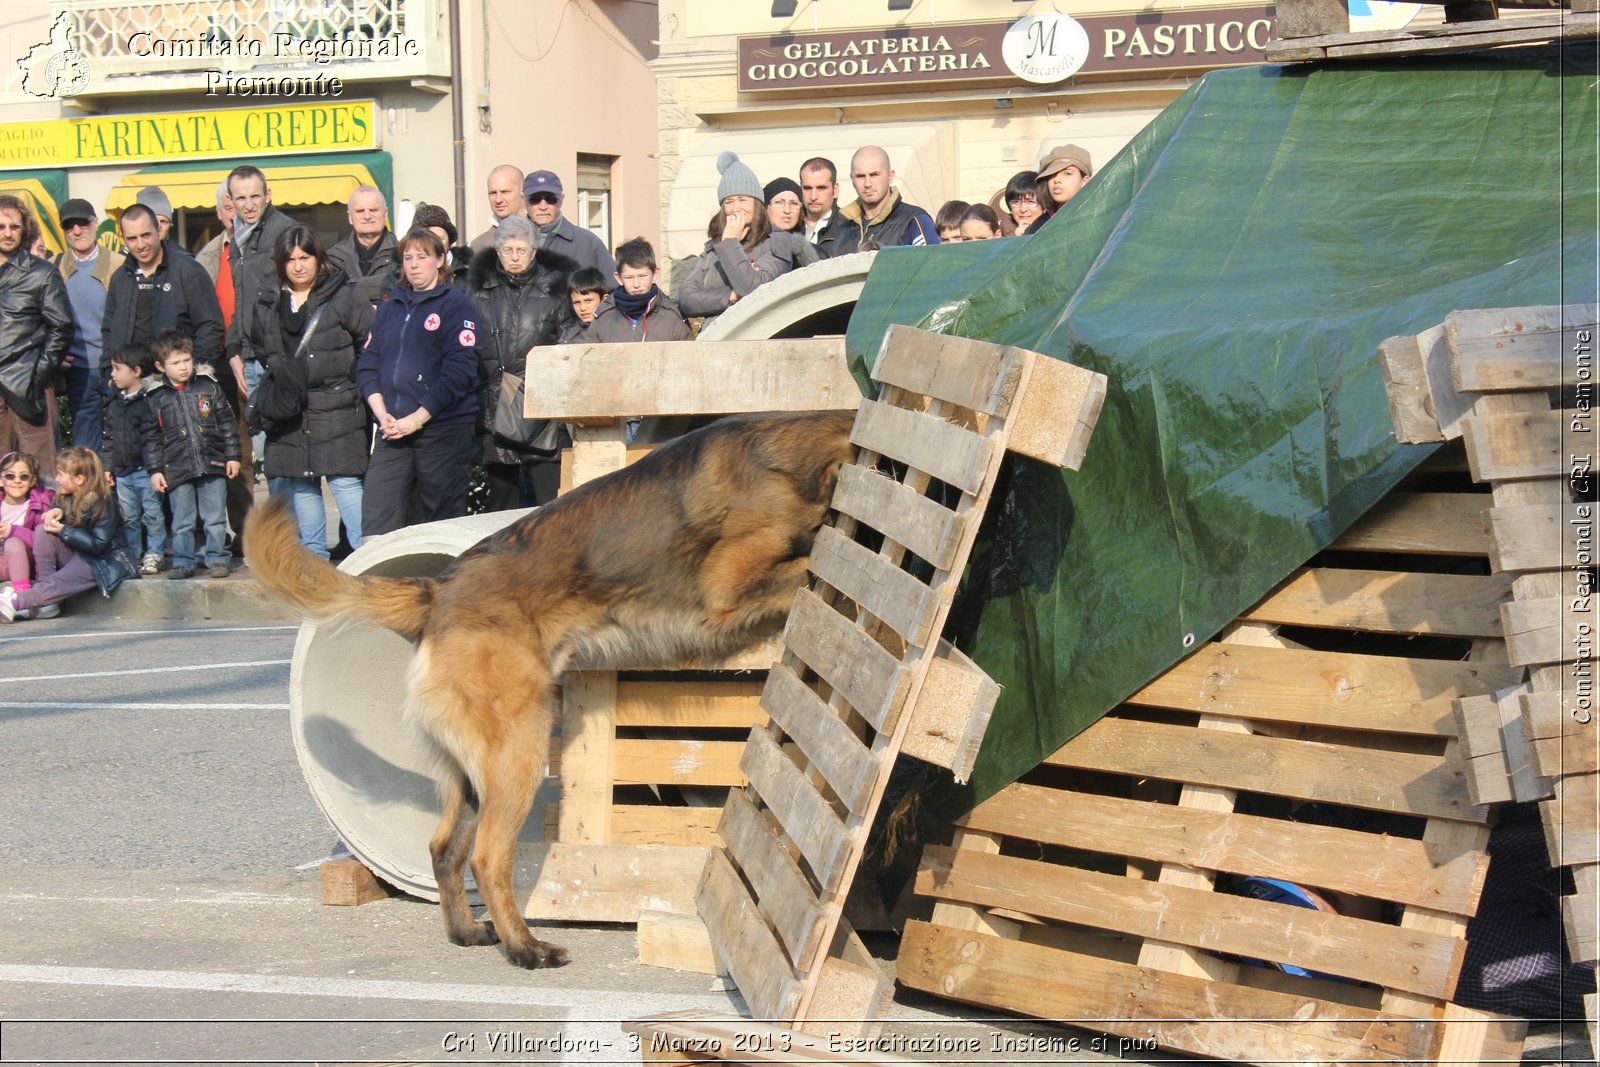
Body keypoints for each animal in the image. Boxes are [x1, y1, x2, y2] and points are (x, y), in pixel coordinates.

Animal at [243, 409, 857, 966]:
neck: (793, 453)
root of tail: (437, 590)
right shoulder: (730, 588)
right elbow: (806, 562)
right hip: (519, 752)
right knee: (488, 858)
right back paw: (525, 948)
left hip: (476, 772)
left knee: (445, 849)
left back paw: (466, 932)